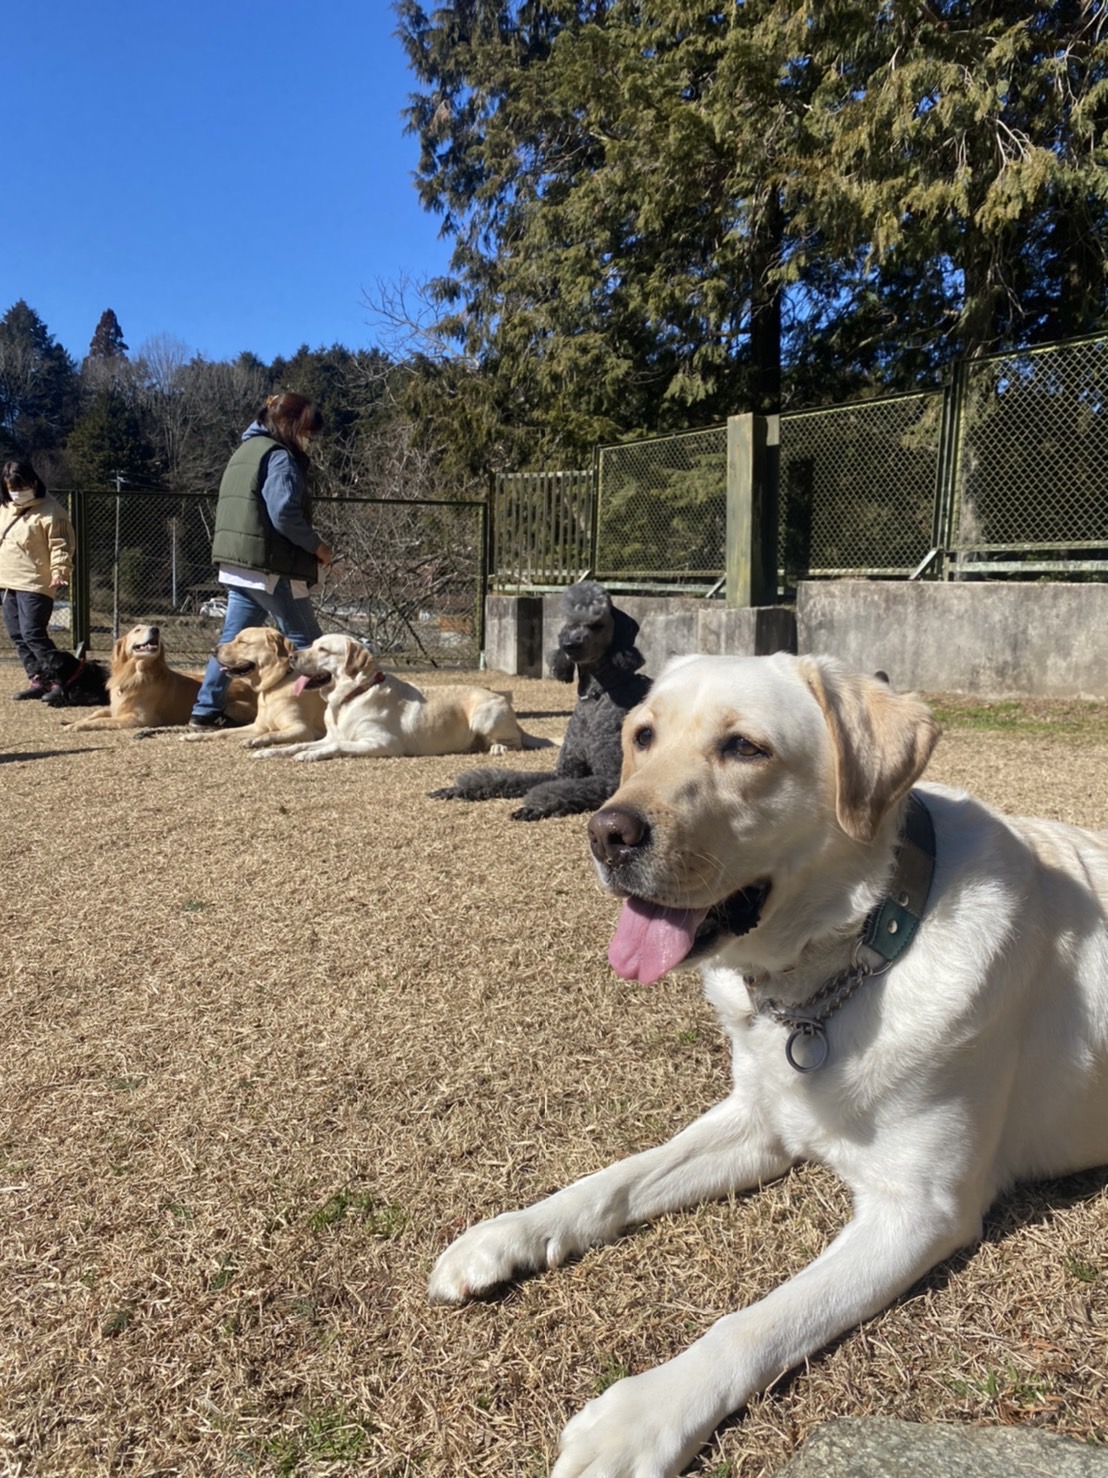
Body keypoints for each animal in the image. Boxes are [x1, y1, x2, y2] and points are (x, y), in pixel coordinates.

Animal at [65, 623, 255, 733]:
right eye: (137, 630)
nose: (156, 630)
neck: (135, 673)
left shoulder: (140, 718)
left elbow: (103, 720)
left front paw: (77, 725)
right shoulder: (117, 707)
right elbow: (98, 713)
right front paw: (74, 722)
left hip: (231, 706)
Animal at [180, 626, 327, 750]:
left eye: (243, 642)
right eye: (235, 638)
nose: (213, 651)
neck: (274, 686)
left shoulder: (302, 729)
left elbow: (272, 734)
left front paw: (253, 740)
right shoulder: (257, 727)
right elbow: (223, 731)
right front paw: (197, 736)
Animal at [261, 635, 555, 768]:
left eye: (323, 649)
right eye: (311, 644)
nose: (291, 657)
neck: (353, 695)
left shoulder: (383, 743)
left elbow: (338, 745)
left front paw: (308, 755)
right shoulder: (327, 735)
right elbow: (301, 742)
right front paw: (270, 751)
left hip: (485, 715)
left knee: (515, 742)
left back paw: (498, 748)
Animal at [428, 579, 655, 821]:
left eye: (597, 625)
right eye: (570, 624)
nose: (569, 645)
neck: (597, 696)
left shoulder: (611, 777)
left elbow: (562, 790)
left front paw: (535, 806)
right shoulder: (565, 772)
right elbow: (514, 778)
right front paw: (459, 788)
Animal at [431, 656, 1108, 1478]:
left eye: (745, 748)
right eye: (643, 735)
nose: (604, 832)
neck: (859, 949)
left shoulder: (921, 1211)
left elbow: (755, 1324)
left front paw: (638, 1418)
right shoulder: (761, 1121)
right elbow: (613, 1181)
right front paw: (508, 1233)